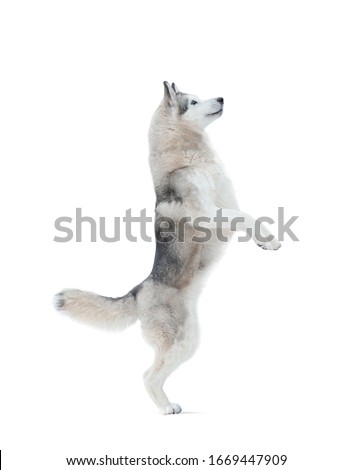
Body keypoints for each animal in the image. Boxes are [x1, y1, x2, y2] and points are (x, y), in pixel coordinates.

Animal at [54, 81, 280, 414]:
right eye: (194, 101)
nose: (222, 97)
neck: (187, 153)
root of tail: (139, 289)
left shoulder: (224, 200)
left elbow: (245, 216)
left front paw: (264, 239)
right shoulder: (207, 213)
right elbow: (246, 217)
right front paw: (272, 238)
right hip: (181, 341)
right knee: (148, 376)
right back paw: (166, 408)